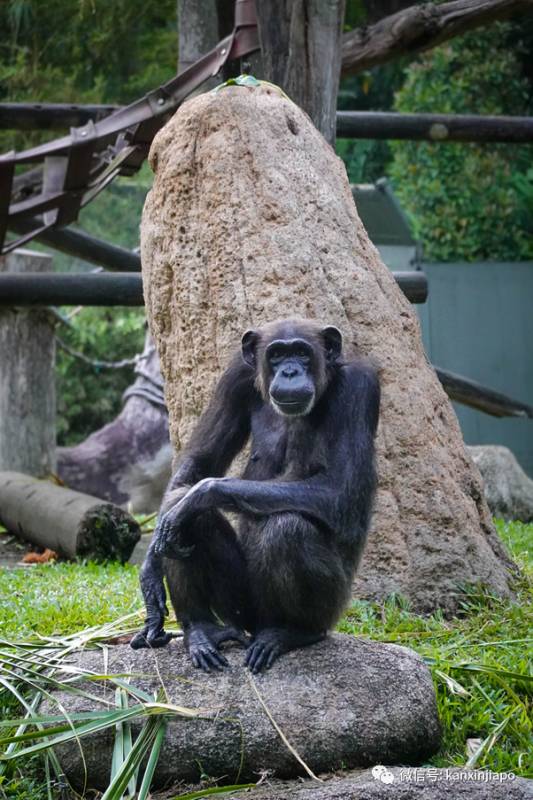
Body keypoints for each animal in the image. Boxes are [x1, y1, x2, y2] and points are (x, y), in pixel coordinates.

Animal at [133, 316, 382, 672]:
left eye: (302, 352)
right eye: (276, 354)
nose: (290, 371)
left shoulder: (358, 387)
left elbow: (339, 488)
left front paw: (203, 493)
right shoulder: (235, 377)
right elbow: (198, 464)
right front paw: (151, 567)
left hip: (330, 608)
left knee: (287, 529)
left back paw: (293, 632)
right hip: (240, 608)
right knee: (188, 520)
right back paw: (200, 630)